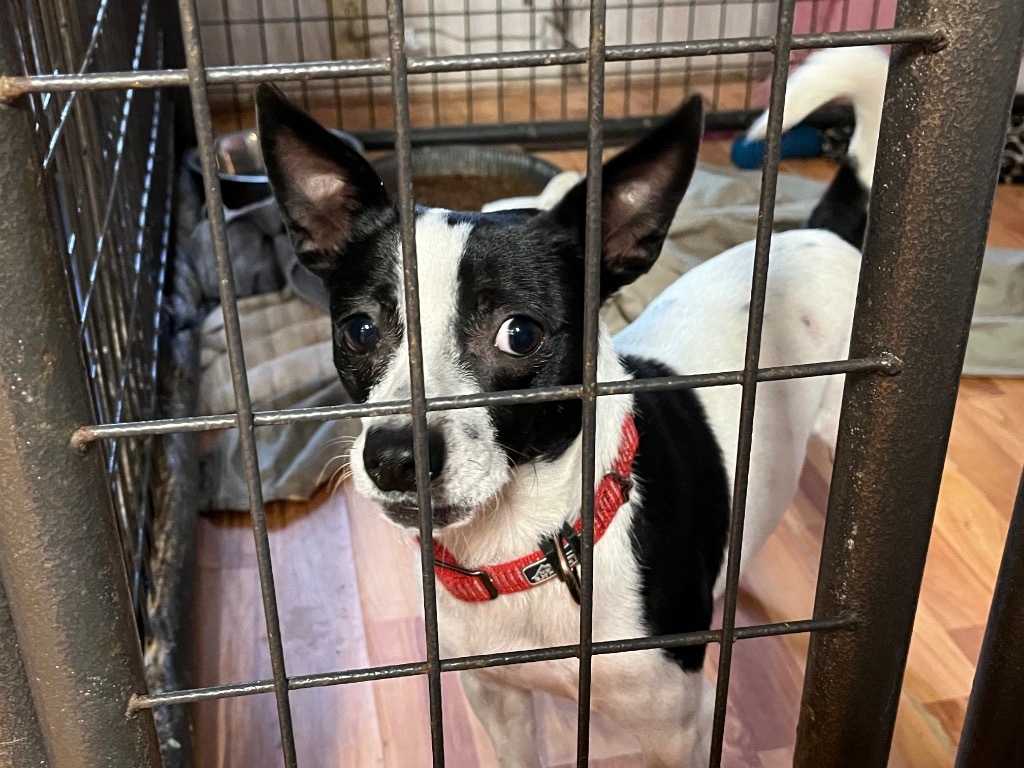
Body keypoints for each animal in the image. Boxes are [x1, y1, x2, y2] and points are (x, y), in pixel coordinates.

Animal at [256, 81, 864, 765]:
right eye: (359, 330)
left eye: (519, 334)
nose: (392, 457)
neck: (525, 548)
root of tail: (819, 234)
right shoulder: (499, 702)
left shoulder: (677, 728)